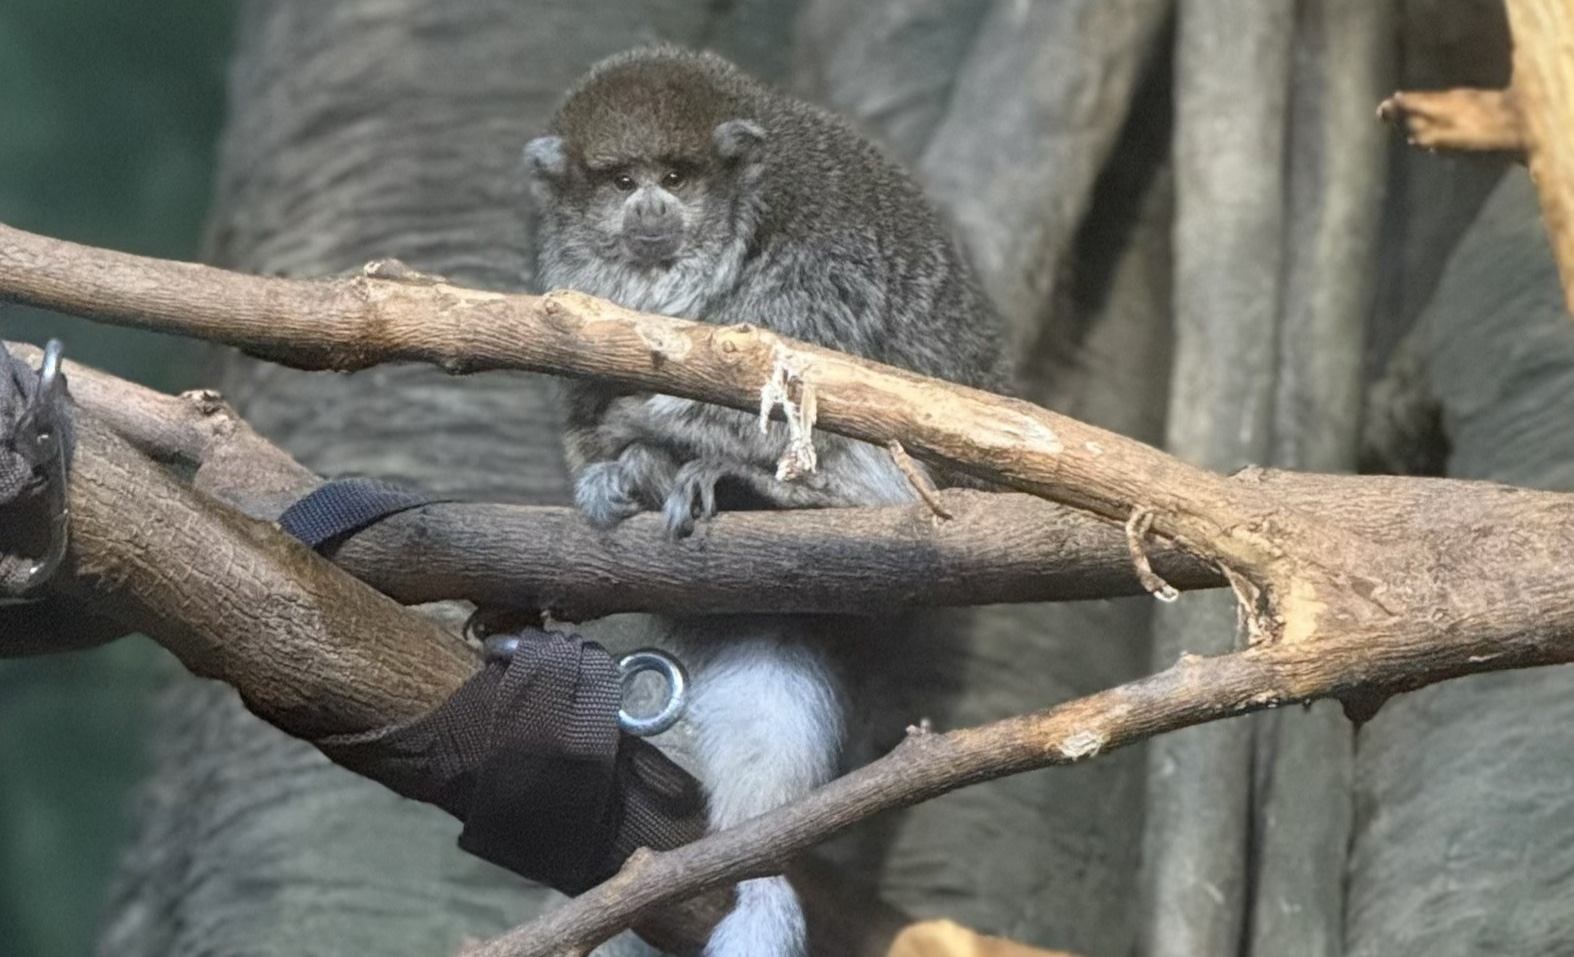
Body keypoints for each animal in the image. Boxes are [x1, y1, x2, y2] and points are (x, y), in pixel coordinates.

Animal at [524, 46, 1009, 957]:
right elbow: (587, 412)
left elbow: (801, 389)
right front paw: (621, 465)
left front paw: (662, 430)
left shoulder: (814, 262)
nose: (649, 206)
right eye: (621, 181)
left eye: (676, 177)